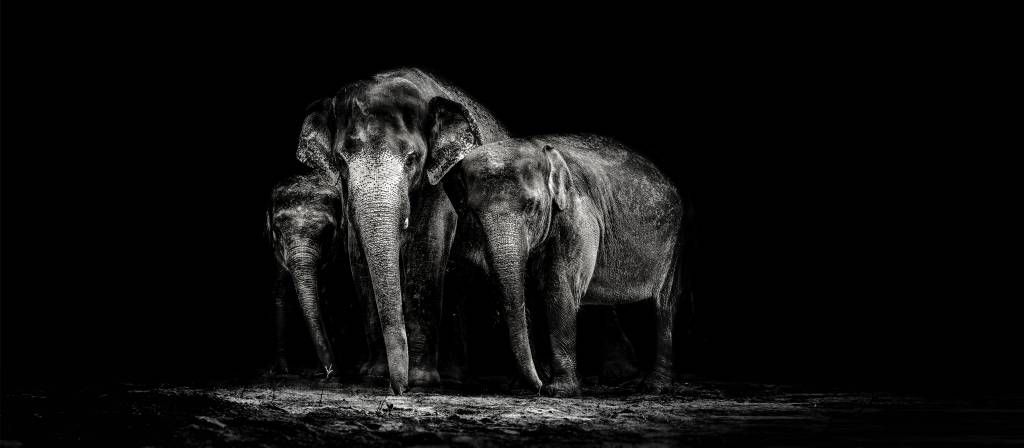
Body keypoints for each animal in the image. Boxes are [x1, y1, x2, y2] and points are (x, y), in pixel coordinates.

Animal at [266, 172, 346, 376]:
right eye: (277, 231)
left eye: (328, 232)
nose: (331, 373)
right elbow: (280, 292)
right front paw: (282, 370)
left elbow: (328, 295)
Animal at [296, 68, 507, 392]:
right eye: (341, 161)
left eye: (412, 159)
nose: (399, 388)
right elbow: (358, 257)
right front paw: (374, 375)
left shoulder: (440, 183)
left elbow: (427, 250)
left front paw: (420, 380)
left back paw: (451, 378)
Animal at [428, 130, 692, 396]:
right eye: (472, 213)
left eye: (532, 207)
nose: (538, 385)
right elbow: (527, 296)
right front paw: (523, 386)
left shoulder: (578, 218)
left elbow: (559, 290)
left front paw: (559, 390)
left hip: (674, 242)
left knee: (664, 305)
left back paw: (653, 386)